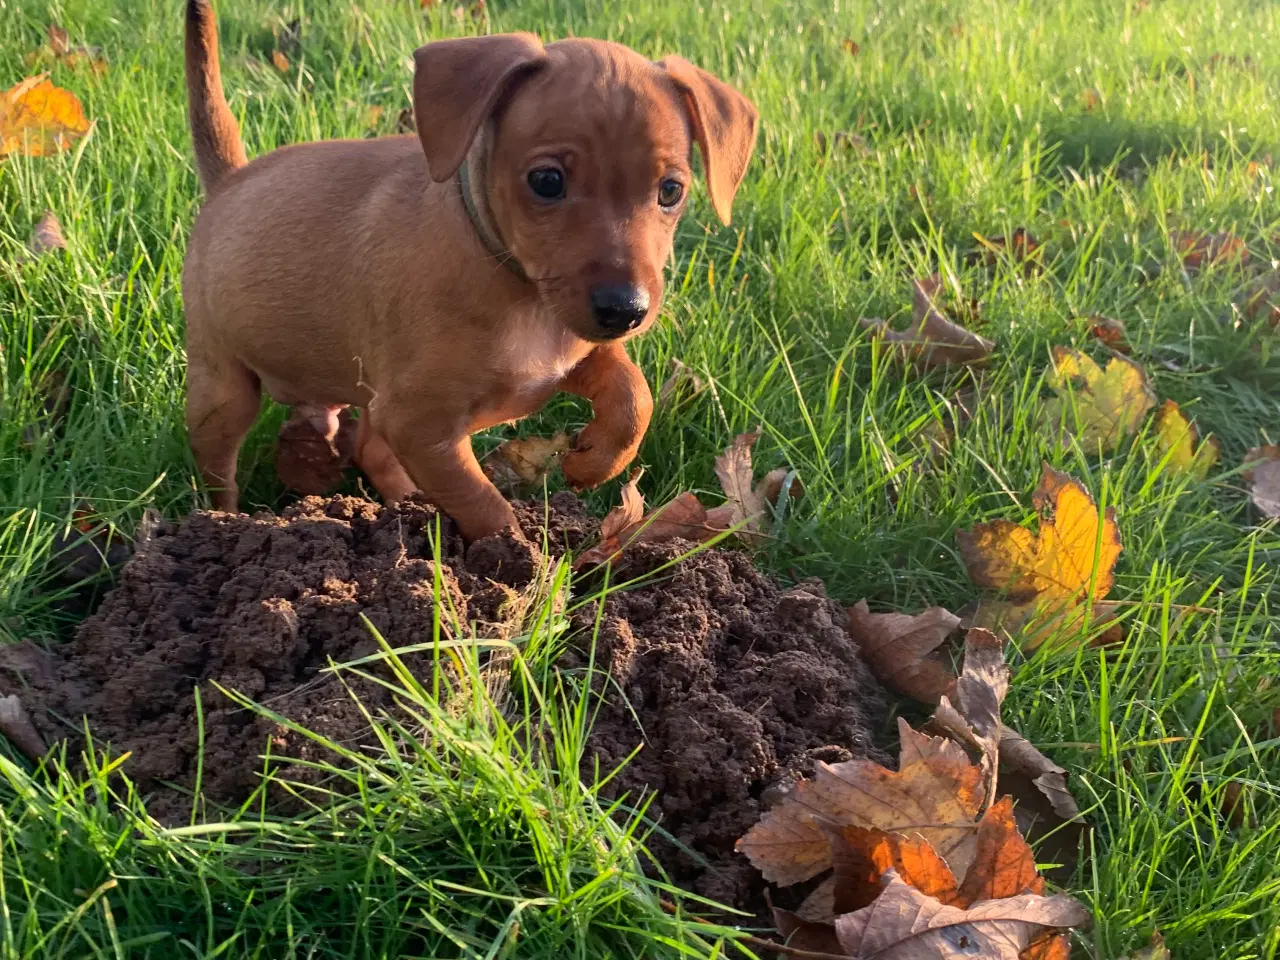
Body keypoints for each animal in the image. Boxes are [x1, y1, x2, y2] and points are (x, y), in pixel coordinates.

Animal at [183, 0, 757, 542]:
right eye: (547, 180)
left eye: (671, 191)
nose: (625, 311)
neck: (518, 291)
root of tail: (231, 180)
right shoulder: (419, 426)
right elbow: (484, 503)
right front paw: (518, 563)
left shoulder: (568, 355)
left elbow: (633, 393)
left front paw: (595, 460)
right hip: (222, 390)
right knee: (220, 470)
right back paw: (224, 525)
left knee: (370, 448)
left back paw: (405, 504)